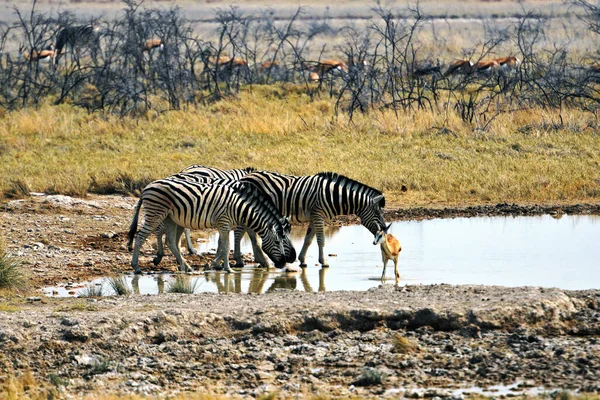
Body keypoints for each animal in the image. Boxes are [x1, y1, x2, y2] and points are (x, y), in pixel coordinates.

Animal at [127, 179, 292, 276]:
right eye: (277, 242)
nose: (283, 263)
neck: (239, 208)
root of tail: (147, 187)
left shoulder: (224, 226)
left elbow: (222, 246)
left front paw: (211, 265)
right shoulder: (224, 223)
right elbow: (226, 247)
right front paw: (228, 269)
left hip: (170, 218)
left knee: (171, 242)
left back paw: (187, 267)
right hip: (156, 213)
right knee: (140, 236)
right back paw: (136, 267)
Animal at [234, 170, 384, 268]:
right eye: (378, 213)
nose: (383, 231)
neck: (334, 196)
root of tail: (245, 176)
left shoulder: (314, 217)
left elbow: (308, 240)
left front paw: (302, 260)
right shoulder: (318, 215)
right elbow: (321, 240)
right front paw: (324, 262)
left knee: (251, 233)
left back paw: (262, 260)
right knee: (239, 233)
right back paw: (240, 261)